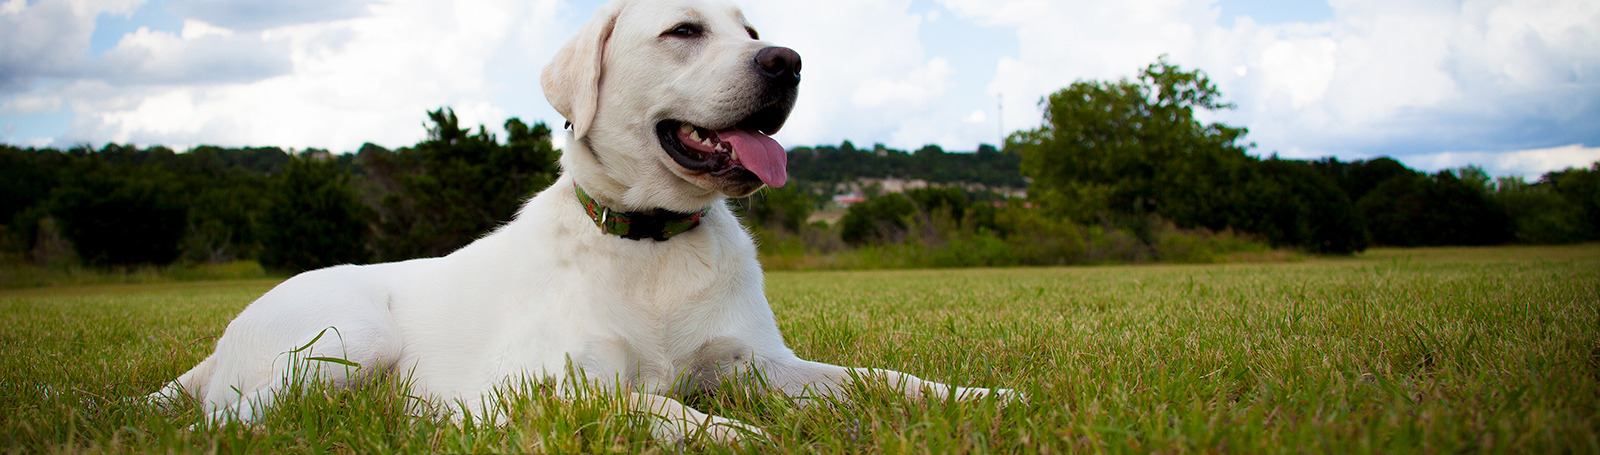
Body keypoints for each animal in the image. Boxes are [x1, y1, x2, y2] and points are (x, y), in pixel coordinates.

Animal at [156, 0, 1017, 442]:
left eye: (750, 31)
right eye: (684, 31)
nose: (787, 61)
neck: (654, 241)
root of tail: (217, 345)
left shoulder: (758, 363)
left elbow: (881, 378)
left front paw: (980, 395)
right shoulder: (538, 386)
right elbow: (652, 405)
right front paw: (740, 436)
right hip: (347, 335)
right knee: (234, 418)